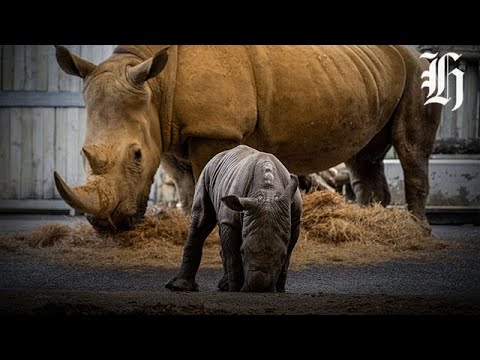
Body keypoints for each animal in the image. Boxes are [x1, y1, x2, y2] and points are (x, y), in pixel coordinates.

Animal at [165, 145, 300, 292]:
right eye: (242, 252)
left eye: (282, 256)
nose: (258, 288)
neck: (267, 192)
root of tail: (221, 154)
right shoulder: (231, 222)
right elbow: (233, 256)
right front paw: (235, 289)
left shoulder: (294, 223)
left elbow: (288, 256)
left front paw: (280, 289)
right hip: (207, 172)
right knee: (201, 221)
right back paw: (181, 287)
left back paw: (223, 285)